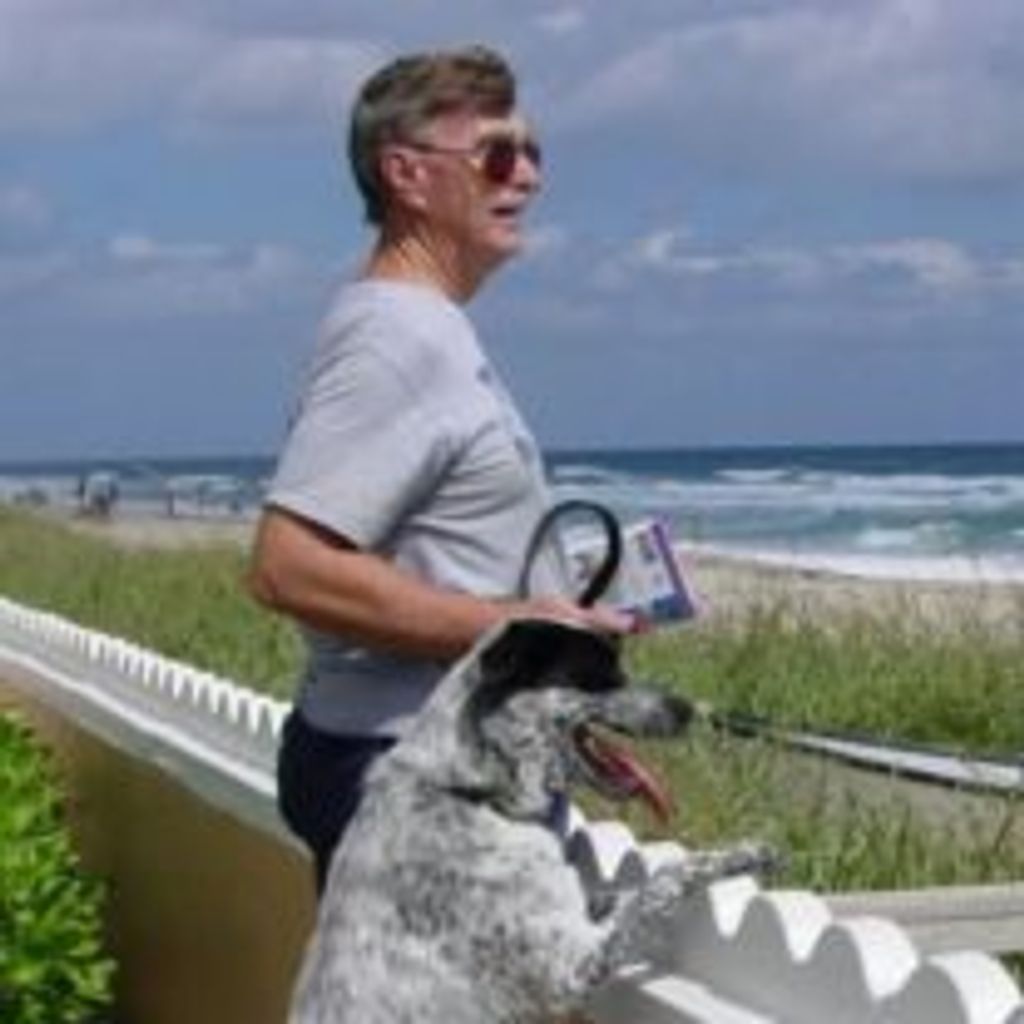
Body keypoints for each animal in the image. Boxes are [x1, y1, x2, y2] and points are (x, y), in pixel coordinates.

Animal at [289, 617, 775, 1024]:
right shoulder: (572, 968)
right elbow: (666, 877)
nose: (689, 710)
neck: (471, 793)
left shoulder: (575, 909)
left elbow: (629, 890)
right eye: (603, 675)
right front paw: (738, 855)